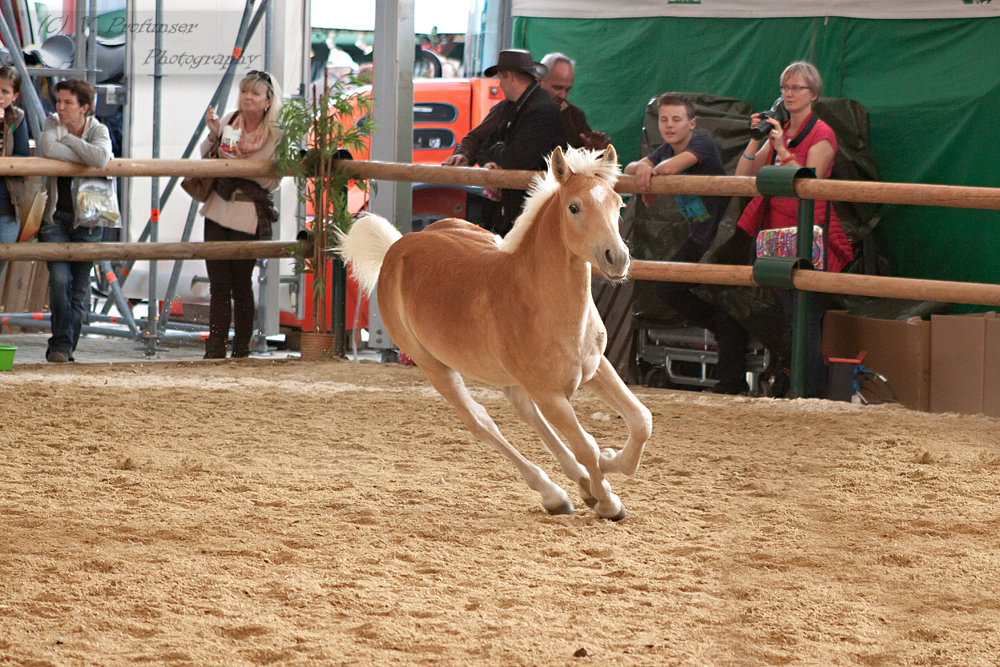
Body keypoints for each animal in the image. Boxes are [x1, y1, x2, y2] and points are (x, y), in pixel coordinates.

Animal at [340, 147, 652, 520]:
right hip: (434, 367)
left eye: (618, 204)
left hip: (509, 376)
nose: (616, 258)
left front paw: (608, 465)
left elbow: (641, 420)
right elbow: (586, 445)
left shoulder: (595, 368)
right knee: (481, 422)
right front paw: (608, 500)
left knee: (526, 413)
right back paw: (554, 494)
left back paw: (580, 484)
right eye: (574, 207)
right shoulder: (549, 393)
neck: (542, 302)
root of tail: (396, 249)